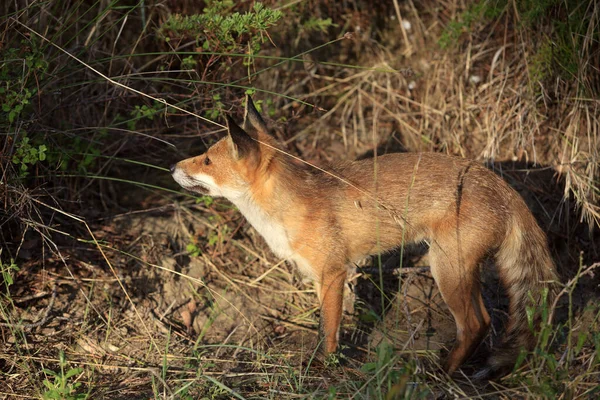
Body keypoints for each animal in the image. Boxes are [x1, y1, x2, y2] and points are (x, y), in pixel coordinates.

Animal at [170, 95, 556, 376]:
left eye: (206, 160)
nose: (172, 167)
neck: (288, 209)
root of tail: (503, 187)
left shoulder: (333, 272)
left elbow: (328, 329)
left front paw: (323, 367)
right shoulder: (322, 277)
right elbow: (327, 323)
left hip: (445, 268)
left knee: (475, 324)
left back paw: (442, 372)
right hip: (457, 270)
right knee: (485, 321)